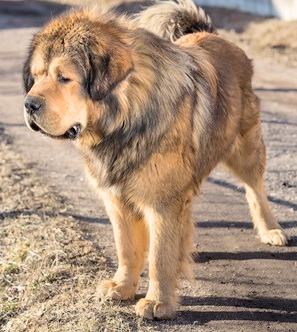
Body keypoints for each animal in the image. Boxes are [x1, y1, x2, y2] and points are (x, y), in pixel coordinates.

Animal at [22, 0, 286, 320]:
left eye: (64, 78)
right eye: (37, 77)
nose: (29, 104)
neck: (126, 120)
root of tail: (215, 36)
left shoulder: (163, 202)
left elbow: (160, 256)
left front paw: (158, 302)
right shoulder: (117, 199)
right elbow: (126, 248)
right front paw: (122, 287)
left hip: (245, 147)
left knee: (255, 188)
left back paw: (270, 229)